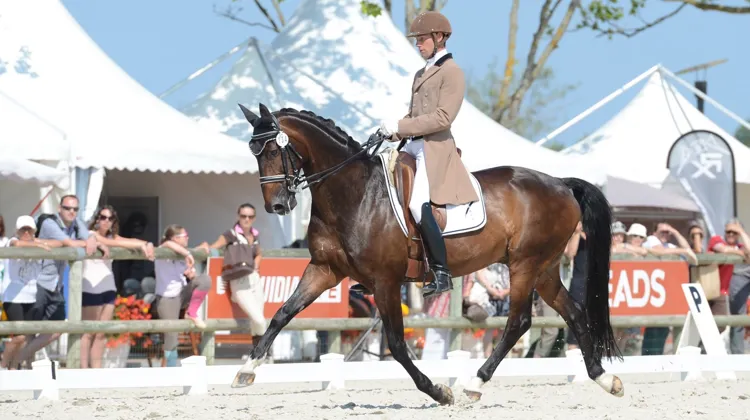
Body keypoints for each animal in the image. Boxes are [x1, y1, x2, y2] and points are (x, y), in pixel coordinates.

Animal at [230, 103, 624, 405]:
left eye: (273, 150)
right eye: (253, 153)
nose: (277, 206)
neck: (353, 193)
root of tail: (561, 184)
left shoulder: (385, 281)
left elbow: (396, 344)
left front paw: (437, 391)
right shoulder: (324, 270)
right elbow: (282, 314)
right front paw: (246, 370)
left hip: (524, 265)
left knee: (518, 322)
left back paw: (474, 384)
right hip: (544, 268)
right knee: (574, 312)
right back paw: (604, 378)